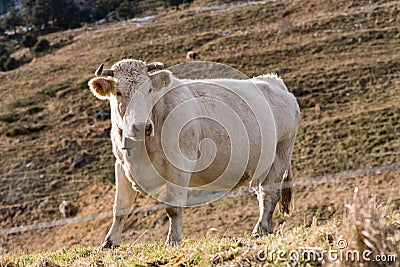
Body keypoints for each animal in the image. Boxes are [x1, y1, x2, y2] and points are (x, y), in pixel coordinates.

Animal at [88, 58, 300, 249]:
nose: (141, 127)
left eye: (149, 90)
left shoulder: (179, 164)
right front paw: (109, 243)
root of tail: (273, 81)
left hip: (281, 153)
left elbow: (173, 208)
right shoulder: (122, 165)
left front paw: (173, 240)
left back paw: (259, 230)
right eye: (118, 92)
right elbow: (120, 208)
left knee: (269, 194)